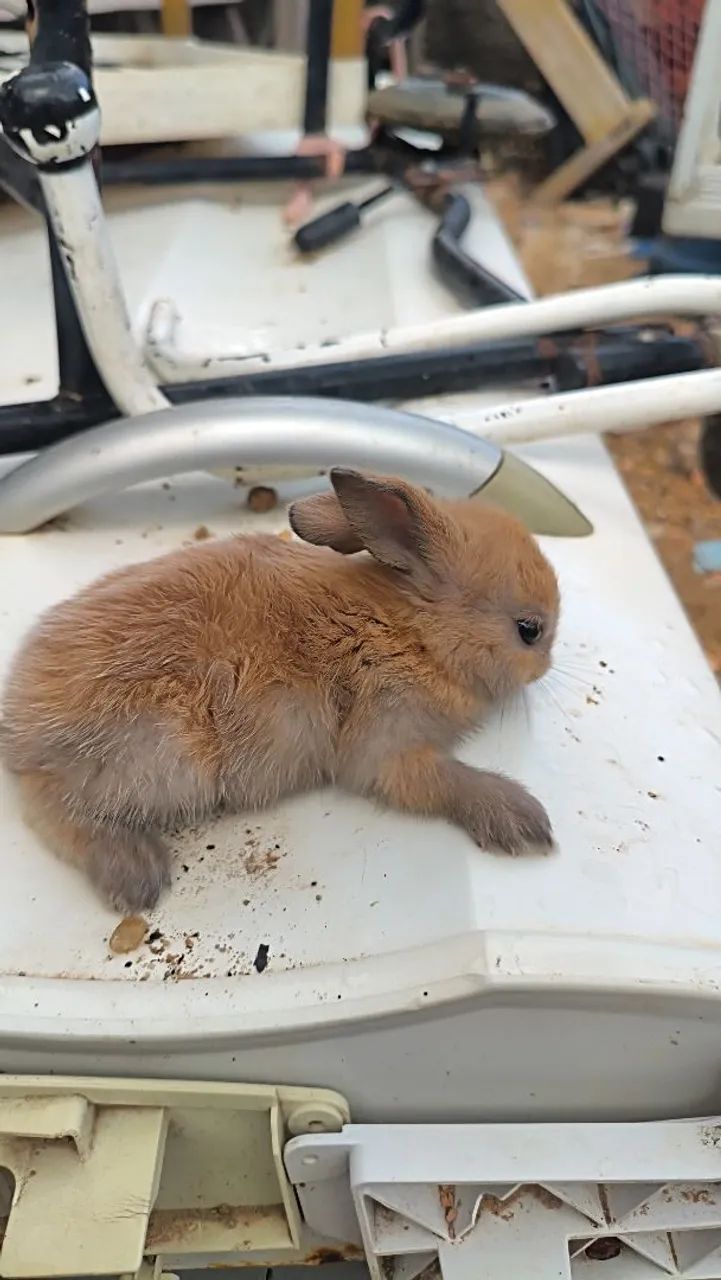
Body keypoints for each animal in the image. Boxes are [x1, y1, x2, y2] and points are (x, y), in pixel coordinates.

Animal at [1, 469, 559, 913]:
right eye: (529, 630)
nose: (546, 669)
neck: (417, 630)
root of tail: (19, 731)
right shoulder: (385, 742)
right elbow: (438, 780)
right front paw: (522, 819)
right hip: (160, 757)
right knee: (55, 811)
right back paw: (137, 871)